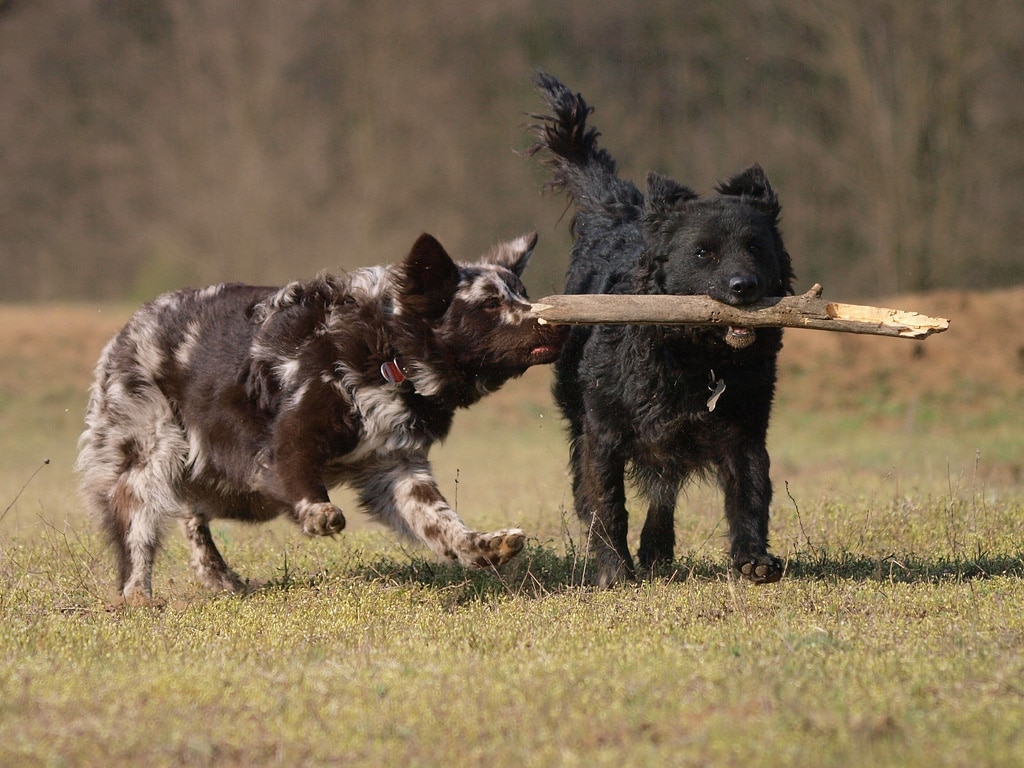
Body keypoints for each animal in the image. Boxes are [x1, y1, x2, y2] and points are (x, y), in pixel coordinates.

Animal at [75, 231, 565, 606]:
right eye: (489, 304)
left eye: (522, 295)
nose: (558, 324)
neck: (389, 349)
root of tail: (127, 331)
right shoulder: (290, 435)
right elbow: (302, 478)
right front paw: (318, 513)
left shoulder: (397, 467)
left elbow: (442, 522)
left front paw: (483, 546)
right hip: (153, 456)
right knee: (138, 525)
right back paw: (138, 594)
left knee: (192, 516)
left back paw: (218, 576)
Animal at [532, 73, 794, 589]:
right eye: (703, 253)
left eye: (756, 247)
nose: (745, 287)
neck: (695, 355)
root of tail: (622, 211)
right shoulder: (604, 432)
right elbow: (608, 504)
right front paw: (614, 570)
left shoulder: (745, 428)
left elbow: (750, 493)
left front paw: (753, 558)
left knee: (663, 492)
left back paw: (657, 550)